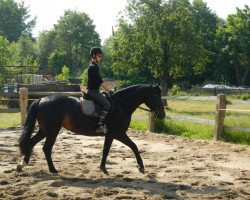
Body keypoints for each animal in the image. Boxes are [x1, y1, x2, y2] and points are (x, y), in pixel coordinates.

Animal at [17, 83, 166, 173]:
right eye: (155, 95)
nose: (162, 114)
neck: (122, 105)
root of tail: (41, 100)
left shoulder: (110, 134)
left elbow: (106, 150)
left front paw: (103, 167)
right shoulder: (118, 133)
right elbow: (134, 146)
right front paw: (141, 166)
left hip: (45, 130)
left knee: (31, 143)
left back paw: (23, 164)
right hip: (52, 130)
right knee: (46, 148)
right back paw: (52, 169)